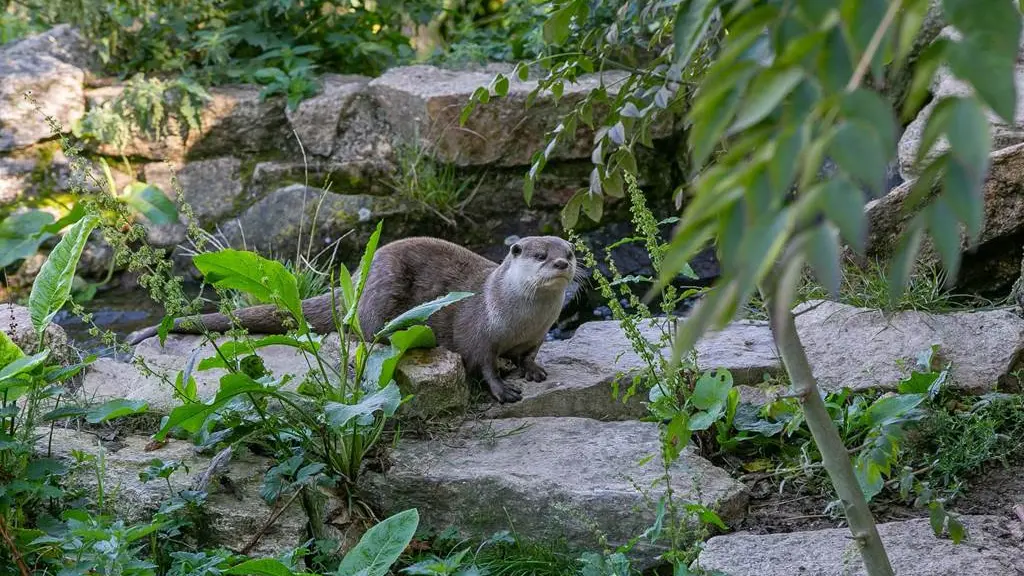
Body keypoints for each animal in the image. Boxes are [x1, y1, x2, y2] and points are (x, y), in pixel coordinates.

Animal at [124, 235, 577, 401]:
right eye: (540, 255)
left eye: (569, 251)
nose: (562, 263)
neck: (518, 318)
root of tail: (354, 280)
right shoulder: (478, 329)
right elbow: (481, 363)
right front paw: (502, 388)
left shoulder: (538, 334)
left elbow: (528, 355)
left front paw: (532, 370)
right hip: (379, 296)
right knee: (364, 332)